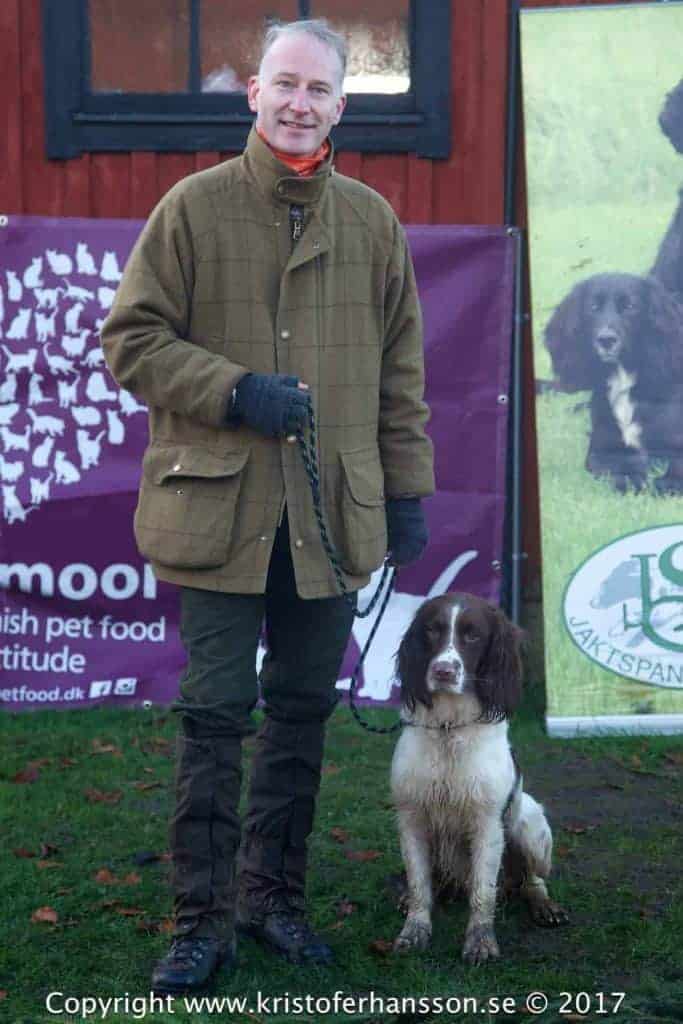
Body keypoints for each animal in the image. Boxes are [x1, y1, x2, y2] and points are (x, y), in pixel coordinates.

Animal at [389, 598, 565, 962]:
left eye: (473, 636)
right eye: (432, 629)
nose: (443, 671)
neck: (448, 729)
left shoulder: (487, 823)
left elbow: (483, 892)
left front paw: (481, 941)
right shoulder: (411, 817)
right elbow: (419, 885)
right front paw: (415, 930)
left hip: (530, 826)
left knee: (532, 879)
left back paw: (544, 906)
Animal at [548, 272, 683, 495]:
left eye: (630, 306)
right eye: (593, 307)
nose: (606, 340)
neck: (623, 378)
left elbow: (676, 463)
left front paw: (668, 483)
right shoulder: (601, 449)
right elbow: (609, 466)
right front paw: (630, 480)